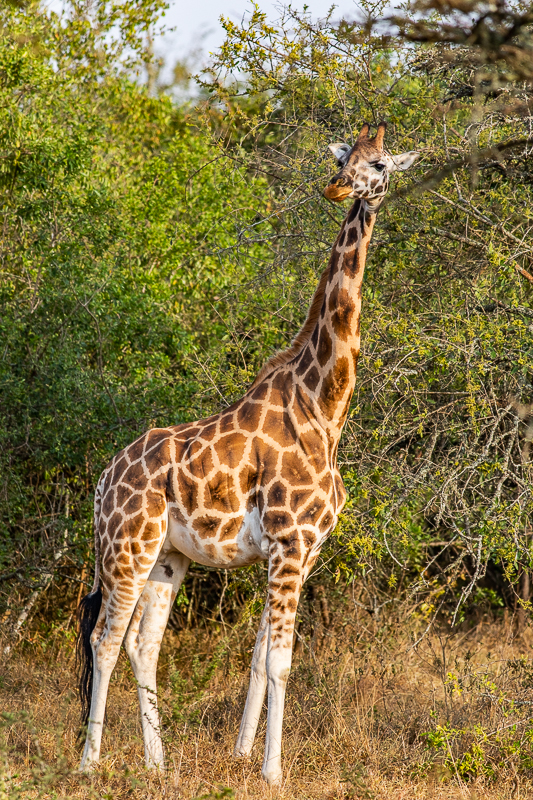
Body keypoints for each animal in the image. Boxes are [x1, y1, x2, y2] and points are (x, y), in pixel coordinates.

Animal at [77, 122, 418, 784]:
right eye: (345, 156)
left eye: (380, 163)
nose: (337, 186)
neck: (325, 407)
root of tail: (105, 479)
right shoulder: (288, 542)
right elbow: (282, 661)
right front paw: (272, 772)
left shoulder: (303, 549)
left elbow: (262, 658)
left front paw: (240, 756)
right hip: (126, 546)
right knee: (105, 640)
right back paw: (89, 763)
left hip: (167, 557)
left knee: (142, 644)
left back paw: (160, 765)